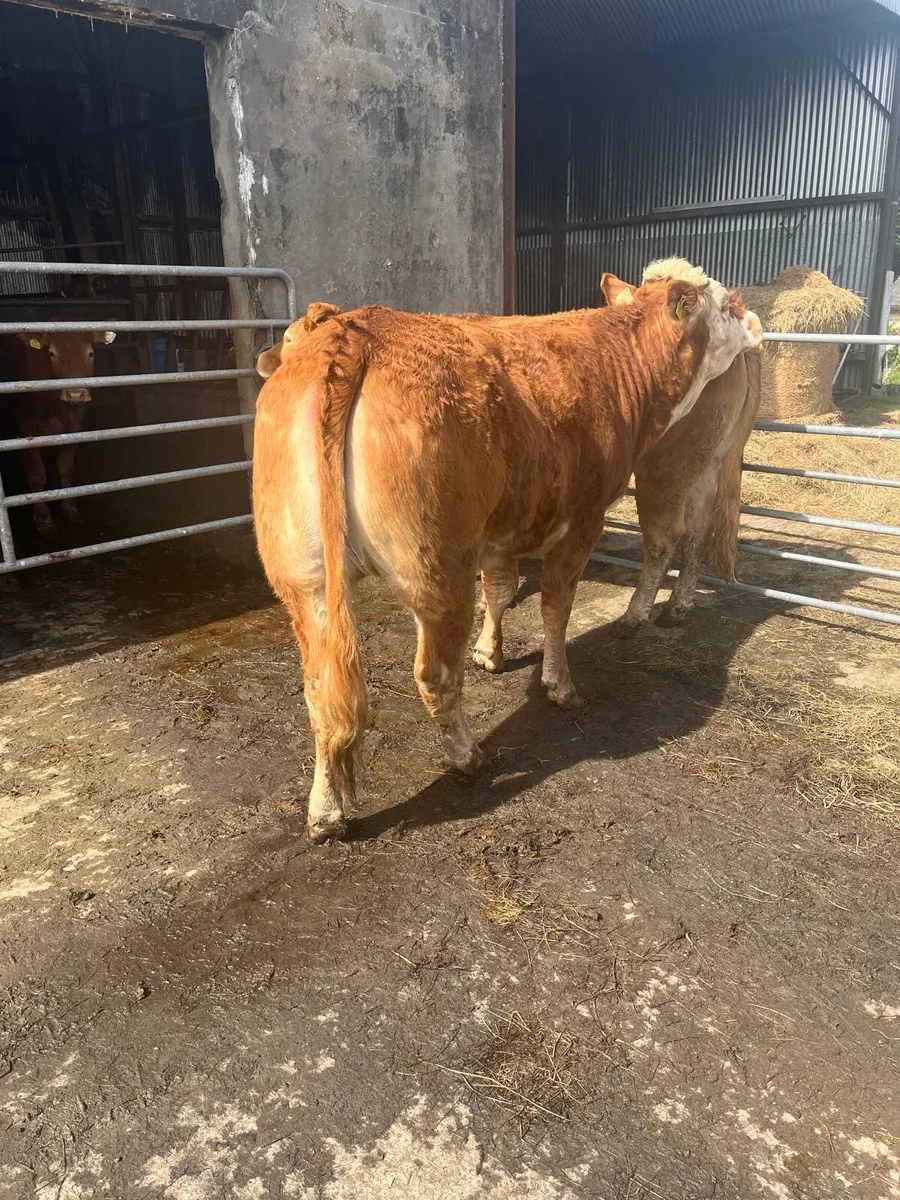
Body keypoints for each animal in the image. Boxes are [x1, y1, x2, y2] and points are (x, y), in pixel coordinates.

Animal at [0, 327, 116, 536]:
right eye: (52, 354)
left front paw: (70, 509)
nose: (75, 394)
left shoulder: (74, 428)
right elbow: (36, 474)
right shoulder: (27, 430)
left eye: (90, 354)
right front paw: (43, 519)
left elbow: (67, 469)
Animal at [252, 260, 762, 841]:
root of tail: (353, 331)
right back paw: (468, 756)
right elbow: (556, 608)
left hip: (304, 580)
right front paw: (559, 685)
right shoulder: (581, 520)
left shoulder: (500, 529)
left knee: (323, 691)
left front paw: (490, 653)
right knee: (434, 675)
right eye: (724, 304)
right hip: (439, 569)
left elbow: (498, 591)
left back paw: (325, 810)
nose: (754, 319)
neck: (615, 363)